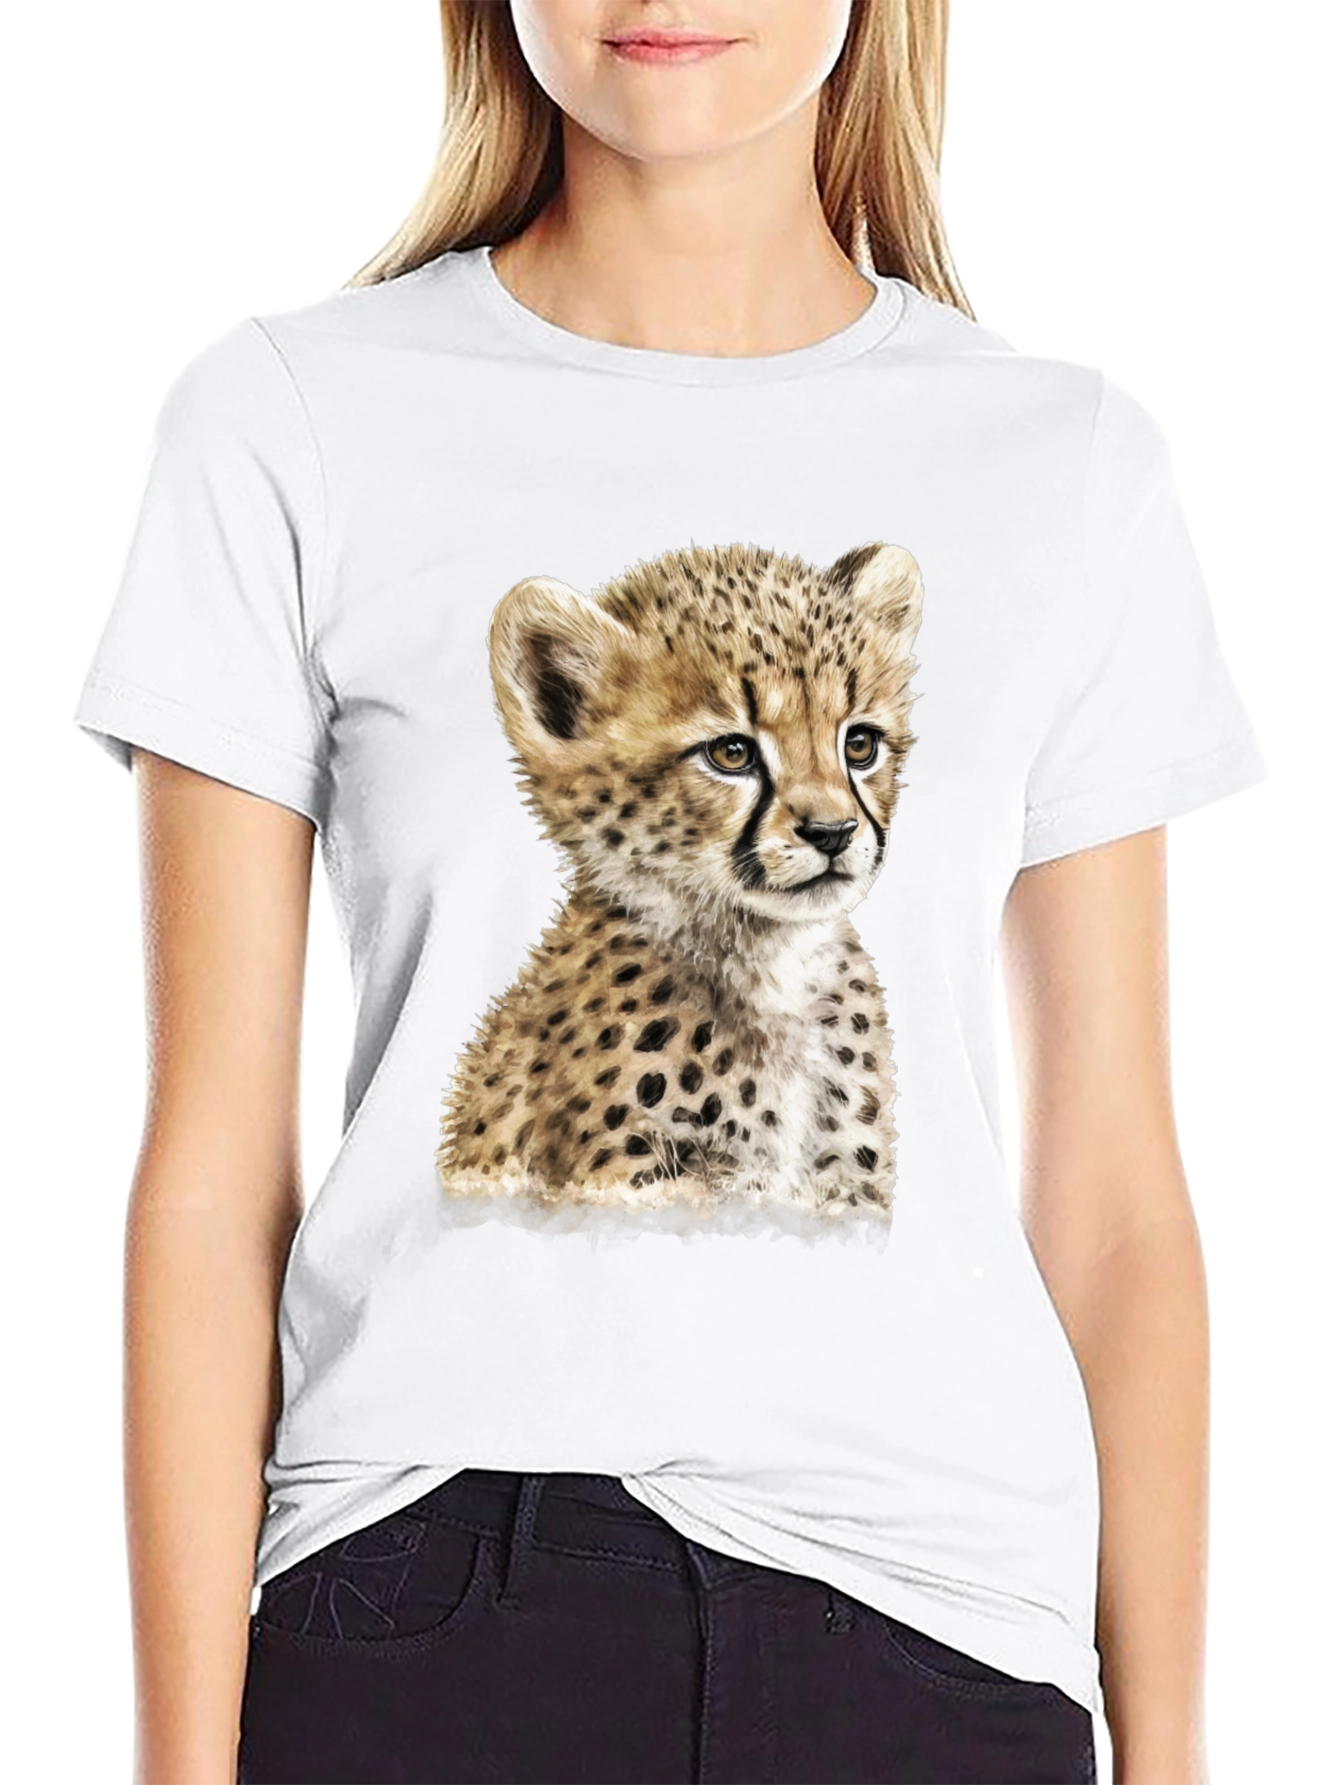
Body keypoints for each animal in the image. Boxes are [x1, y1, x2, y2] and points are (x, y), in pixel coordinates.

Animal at [435, 538, 924, 1233]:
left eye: (859, 744)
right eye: (730, 753)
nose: (832, 832)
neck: (772, 964)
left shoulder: (843, 1191)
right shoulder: (632, 1185)